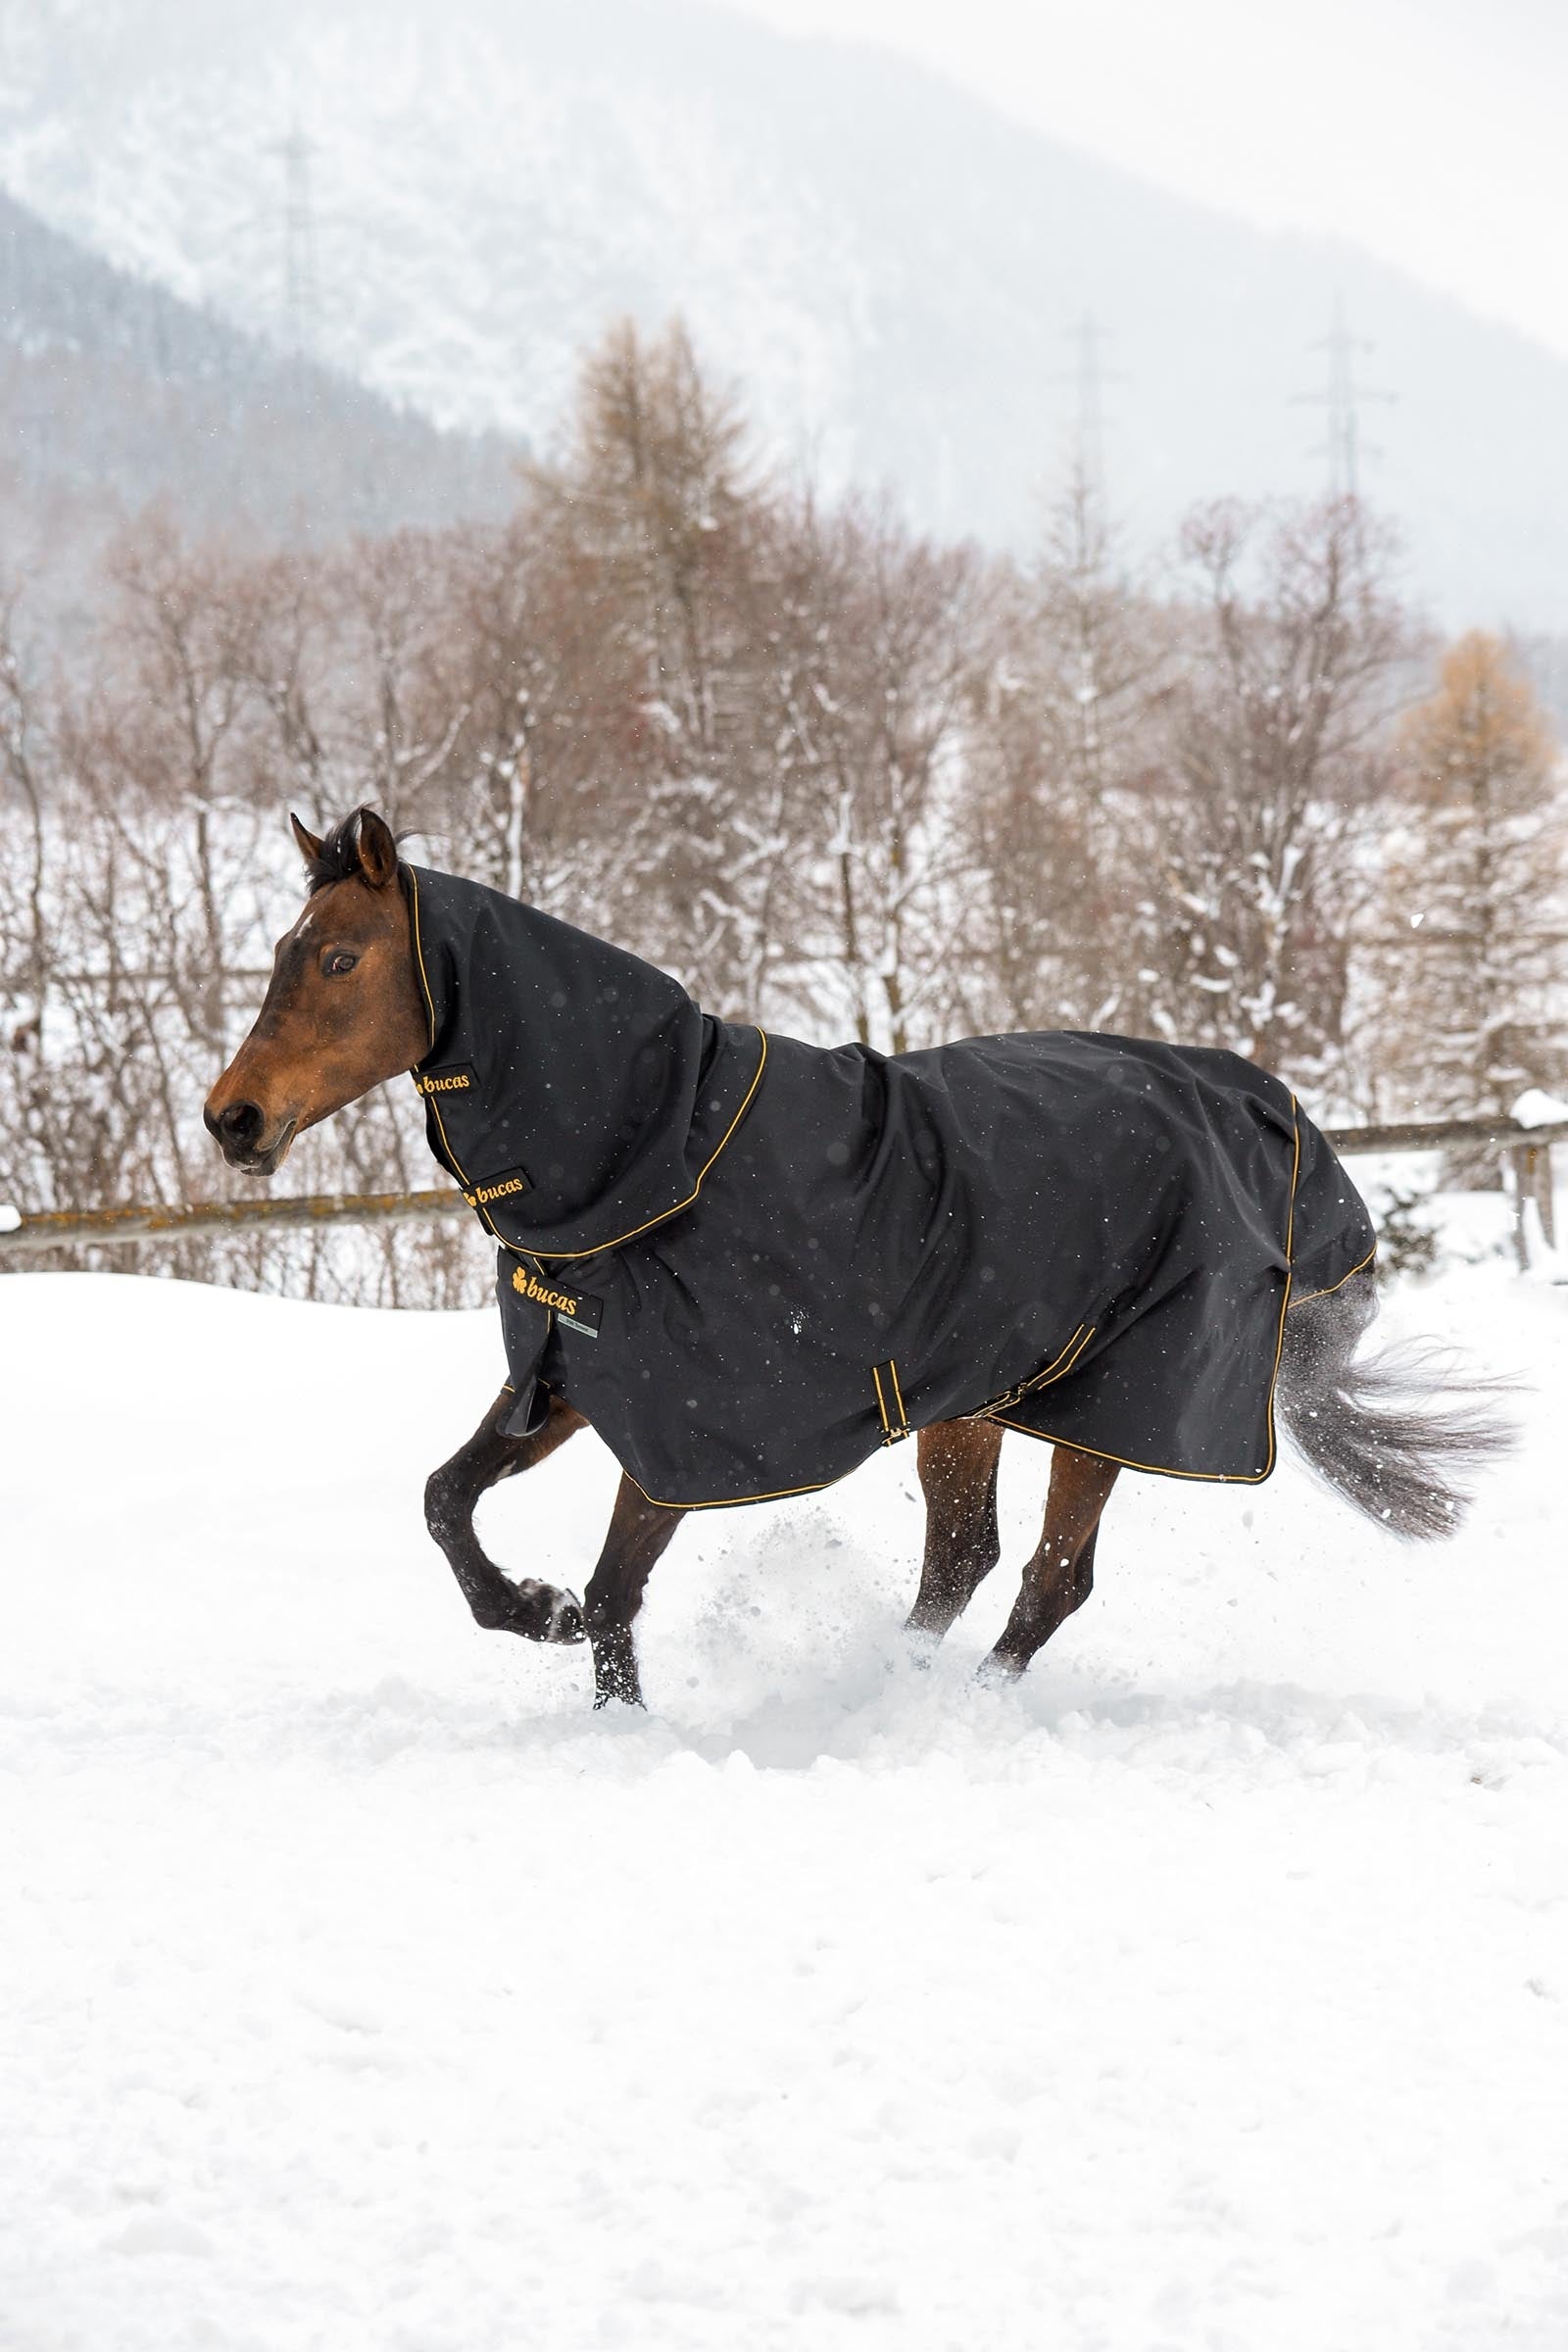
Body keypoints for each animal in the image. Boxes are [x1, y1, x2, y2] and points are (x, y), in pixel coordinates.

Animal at [205, 807, 1511, 1709]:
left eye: (337, 960)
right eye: (281, 950)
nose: (233, 1121)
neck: (649, 1157)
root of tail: (1274, 1121)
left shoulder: (690, 1432)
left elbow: (620, 1588)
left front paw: (602, 1691)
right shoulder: (568, 1382)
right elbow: (445, 1502)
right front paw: (532, 1609)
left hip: (1109, 1408)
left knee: (1048, 1579)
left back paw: (939, 1709)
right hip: (973, 1402)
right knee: (963, 1561)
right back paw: (895, 1681)